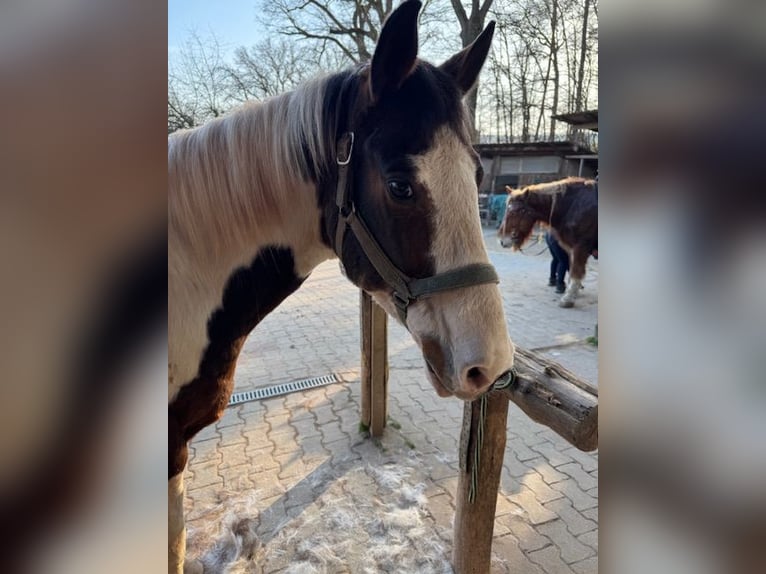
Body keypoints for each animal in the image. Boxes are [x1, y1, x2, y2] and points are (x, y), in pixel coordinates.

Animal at [498, 177, 597, 308]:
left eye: (516, 211)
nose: (503, 241)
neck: (573, 205)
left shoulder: (580, 247)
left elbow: (575, 272)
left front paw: (568, 299)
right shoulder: (572, 250)